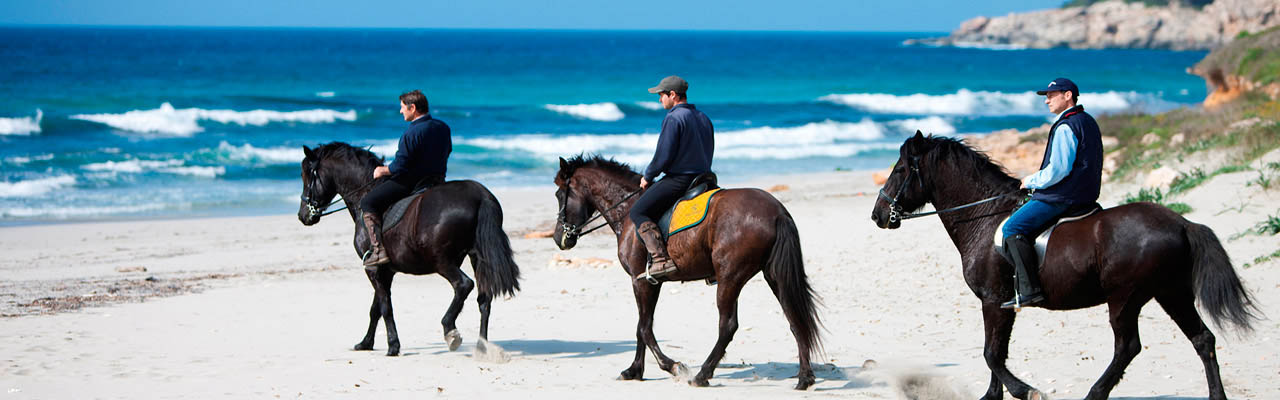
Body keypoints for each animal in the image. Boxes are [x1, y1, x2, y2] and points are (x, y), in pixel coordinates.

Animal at [299, 142, 519, 356]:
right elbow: (376, 308)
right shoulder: (385, 271)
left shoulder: (373, 269)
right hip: (477, 258)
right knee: (484, 299)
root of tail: (480, 196)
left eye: (306, 175)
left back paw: (450, 330)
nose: (303, 216)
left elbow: (385, 308)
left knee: (463, 285)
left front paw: (393, 346)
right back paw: (482, 346)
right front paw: (366, 343)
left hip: (442, 261)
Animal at [550, 154, 819, 389]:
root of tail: (777, 212)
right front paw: (634, 371)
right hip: (773, 276)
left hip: (730, 277)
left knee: (728, 326)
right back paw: (804, 378)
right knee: (795, 319)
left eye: (559, 194)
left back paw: (701, 375)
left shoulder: (640, 281)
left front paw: (672, 366)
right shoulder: (651, 282)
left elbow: (645, 328)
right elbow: (641, 326)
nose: (558, 238)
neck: (627, 208)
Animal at [865, 132, 1254, 400]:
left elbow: (992, 355)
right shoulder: (1001, 304)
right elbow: (996, 354)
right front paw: (993, 396)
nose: (878, 215)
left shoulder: (994, 300)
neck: (985, 217)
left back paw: (1094, 394)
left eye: (901, 169)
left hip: (1125, 298)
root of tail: (1181, 223)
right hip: (1171, 293)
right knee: (1202, 339)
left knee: (1127, 347)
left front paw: (1027, 391)